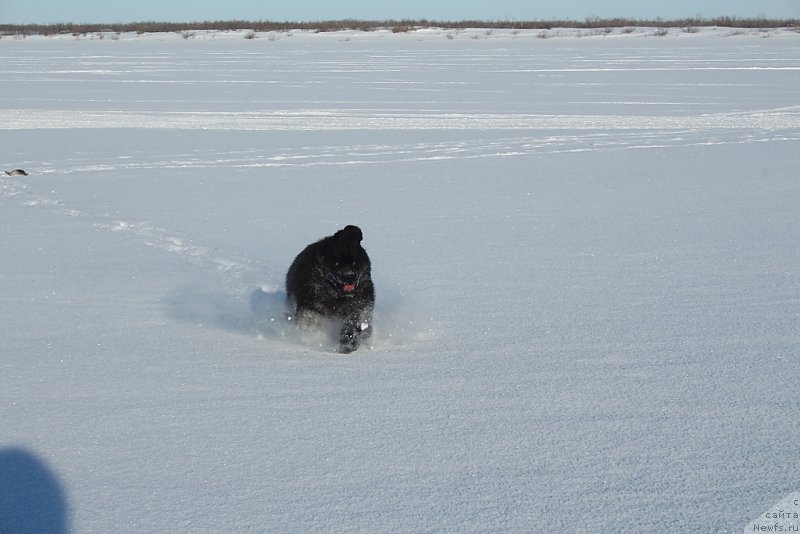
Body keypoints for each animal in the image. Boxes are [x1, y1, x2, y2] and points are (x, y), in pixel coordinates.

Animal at [286, 227, 376, 356]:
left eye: (354, 263)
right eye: (337, 264)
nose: (350, 276)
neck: (337, 297)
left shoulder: (360, 306)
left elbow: (353, 324)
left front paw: (347, 344)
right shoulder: (311, 308)